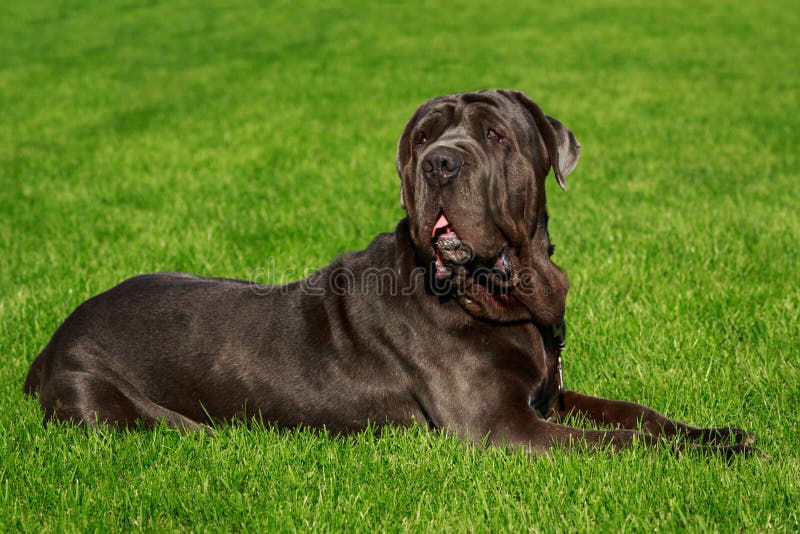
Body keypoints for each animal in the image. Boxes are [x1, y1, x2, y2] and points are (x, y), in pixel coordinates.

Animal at [21, 91, 752, 456]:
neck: (500, 292)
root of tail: (50, 343)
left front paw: (718, 434)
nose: (440, 163)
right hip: (113, 407)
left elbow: (637, 415)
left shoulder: (549, 394)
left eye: (494, 135)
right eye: (424, 137)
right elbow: (624, 443)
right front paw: (717, 455)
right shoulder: (501, 427)